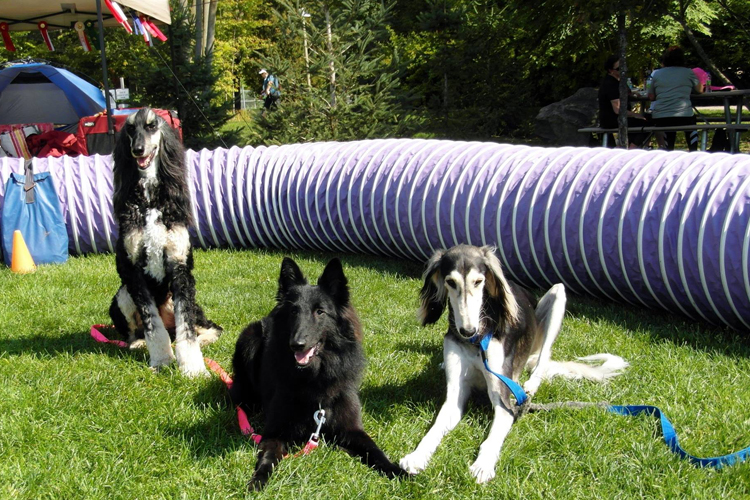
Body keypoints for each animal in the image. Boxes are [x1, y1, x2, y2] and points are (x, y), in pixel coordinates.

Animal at [108, 107, 222, 376]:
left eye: (151, 126)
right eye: (130, 129)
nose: (138, 150)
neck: (150, 200)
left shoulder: (179, 267)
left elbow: (187, 328)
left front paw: (193, 367)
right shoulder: (133, 272)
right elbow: (153, 325)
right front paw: (161, 359)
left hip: (175, 300)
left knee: (210, 328)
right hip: (123, 296)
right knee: (136, 333)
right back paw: (139, 343)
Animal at [232, 258, 406, 488]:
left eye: (320, 312)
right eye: (294, 312)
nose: (297, 344)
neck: (315, 377)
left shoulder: (351, 429)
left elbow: (375, 450)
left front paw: (398, 471)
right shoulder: (274, 433)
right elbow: (267, 458)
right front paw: (258, 480)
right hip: (250, 337)